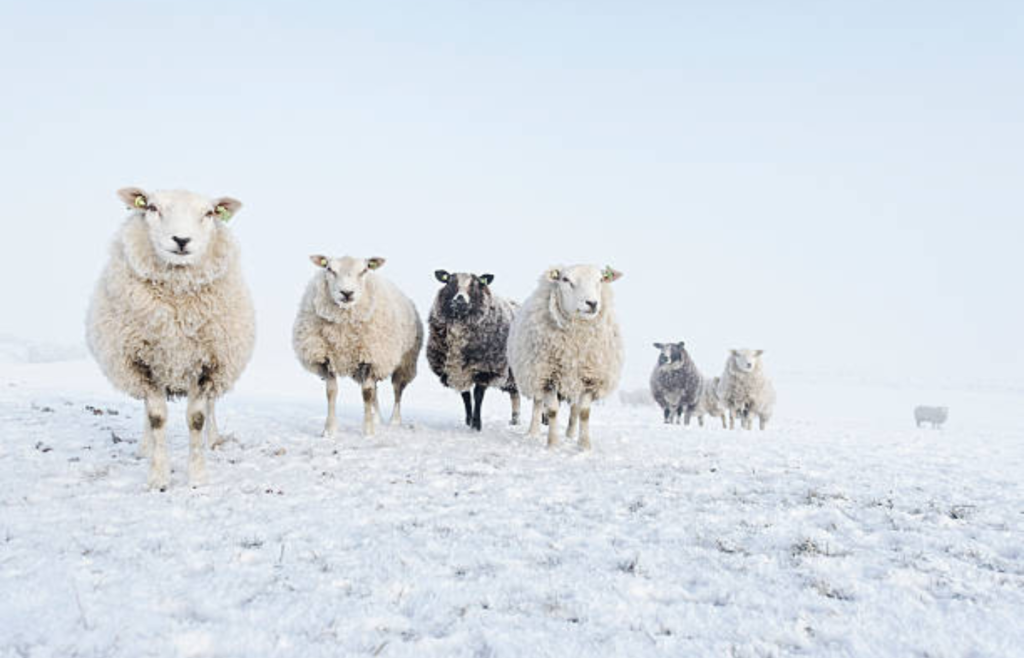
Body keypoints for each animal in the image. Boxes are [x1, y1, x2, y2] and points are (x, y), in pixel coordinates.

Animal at [86, 185, 258, 489]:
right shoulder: (142, 362)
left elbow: (197, 418)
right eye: (152, 208)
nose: (181, 239)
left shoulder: (208, 363)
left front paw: (198, 476)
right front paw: (158, 477)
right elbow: (156, 418)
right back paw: (145, 447)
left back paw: (213, 440)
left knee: (212, 405)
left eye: (209, 213)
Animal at [292, 255, 423, 437]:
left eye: (364, 270)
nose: (347, 293)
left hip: (404, 361)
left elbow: (367, 394)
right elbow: (331, 392)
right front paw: (329, 430)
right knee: (376, 389)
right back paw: (377, 418)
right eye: (330, 269)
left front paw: (368, 431)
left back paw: (394, 420)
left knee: (397, 390)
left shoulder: (370, 357)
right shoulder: (327, 358)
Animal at [505, 266, 622, 450]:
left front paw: (584, 445)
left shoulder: (590, 377)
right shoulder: (547, 376)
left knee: (574, 409)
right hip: (534, 372)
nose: (592, 303)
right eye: (566, 280)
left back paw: (570, 435)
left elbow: (584, 412)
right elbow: (552, 411)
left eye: (600, 279)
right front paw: (553, 444)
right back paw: (533, 432)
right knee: (538, 403)